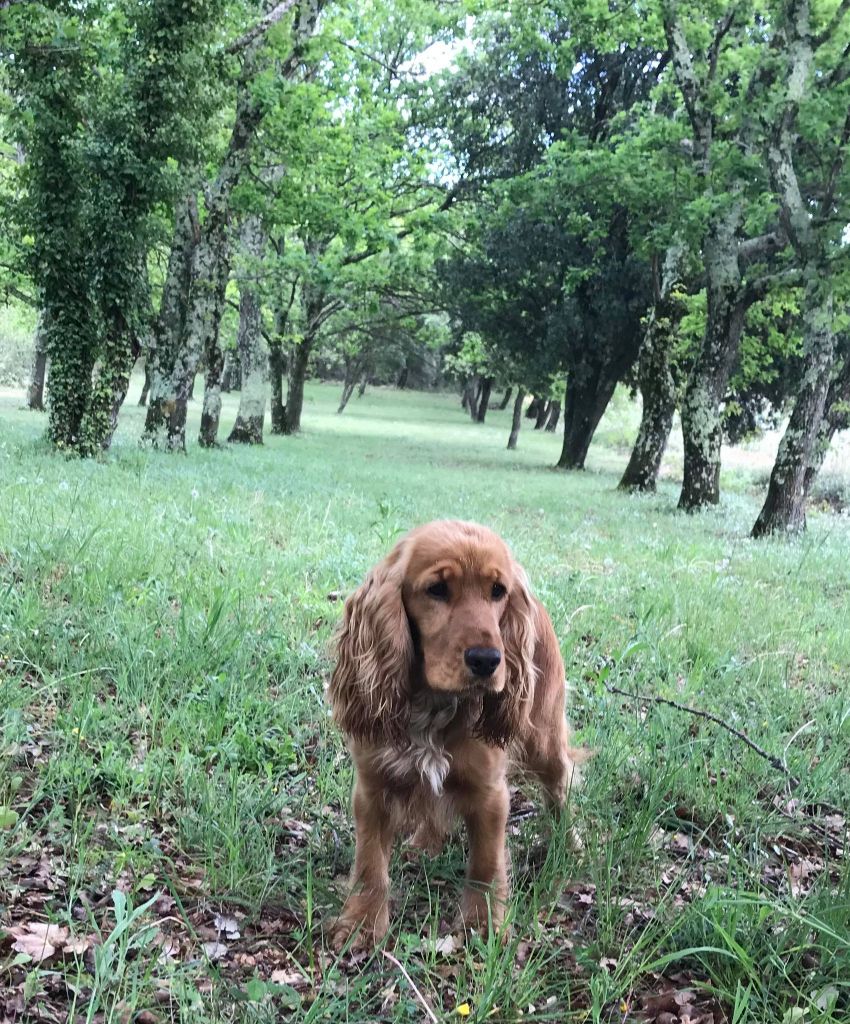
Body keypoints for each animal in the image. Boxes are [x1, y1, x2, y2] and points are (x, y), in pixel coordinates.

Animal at [325, 524, 585, 946]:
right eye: (437, 589)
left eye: (498, 590)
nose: (488, 660)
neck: (433, 705)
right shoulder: (372, 786)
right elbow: (369, 863)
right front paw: (362, 923)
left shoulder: (490, 791)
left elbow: (485, 863)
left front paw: (483, 925)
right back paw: (424, 843)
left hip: (543, 740)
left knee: (560, 787)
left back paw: (571, 844)